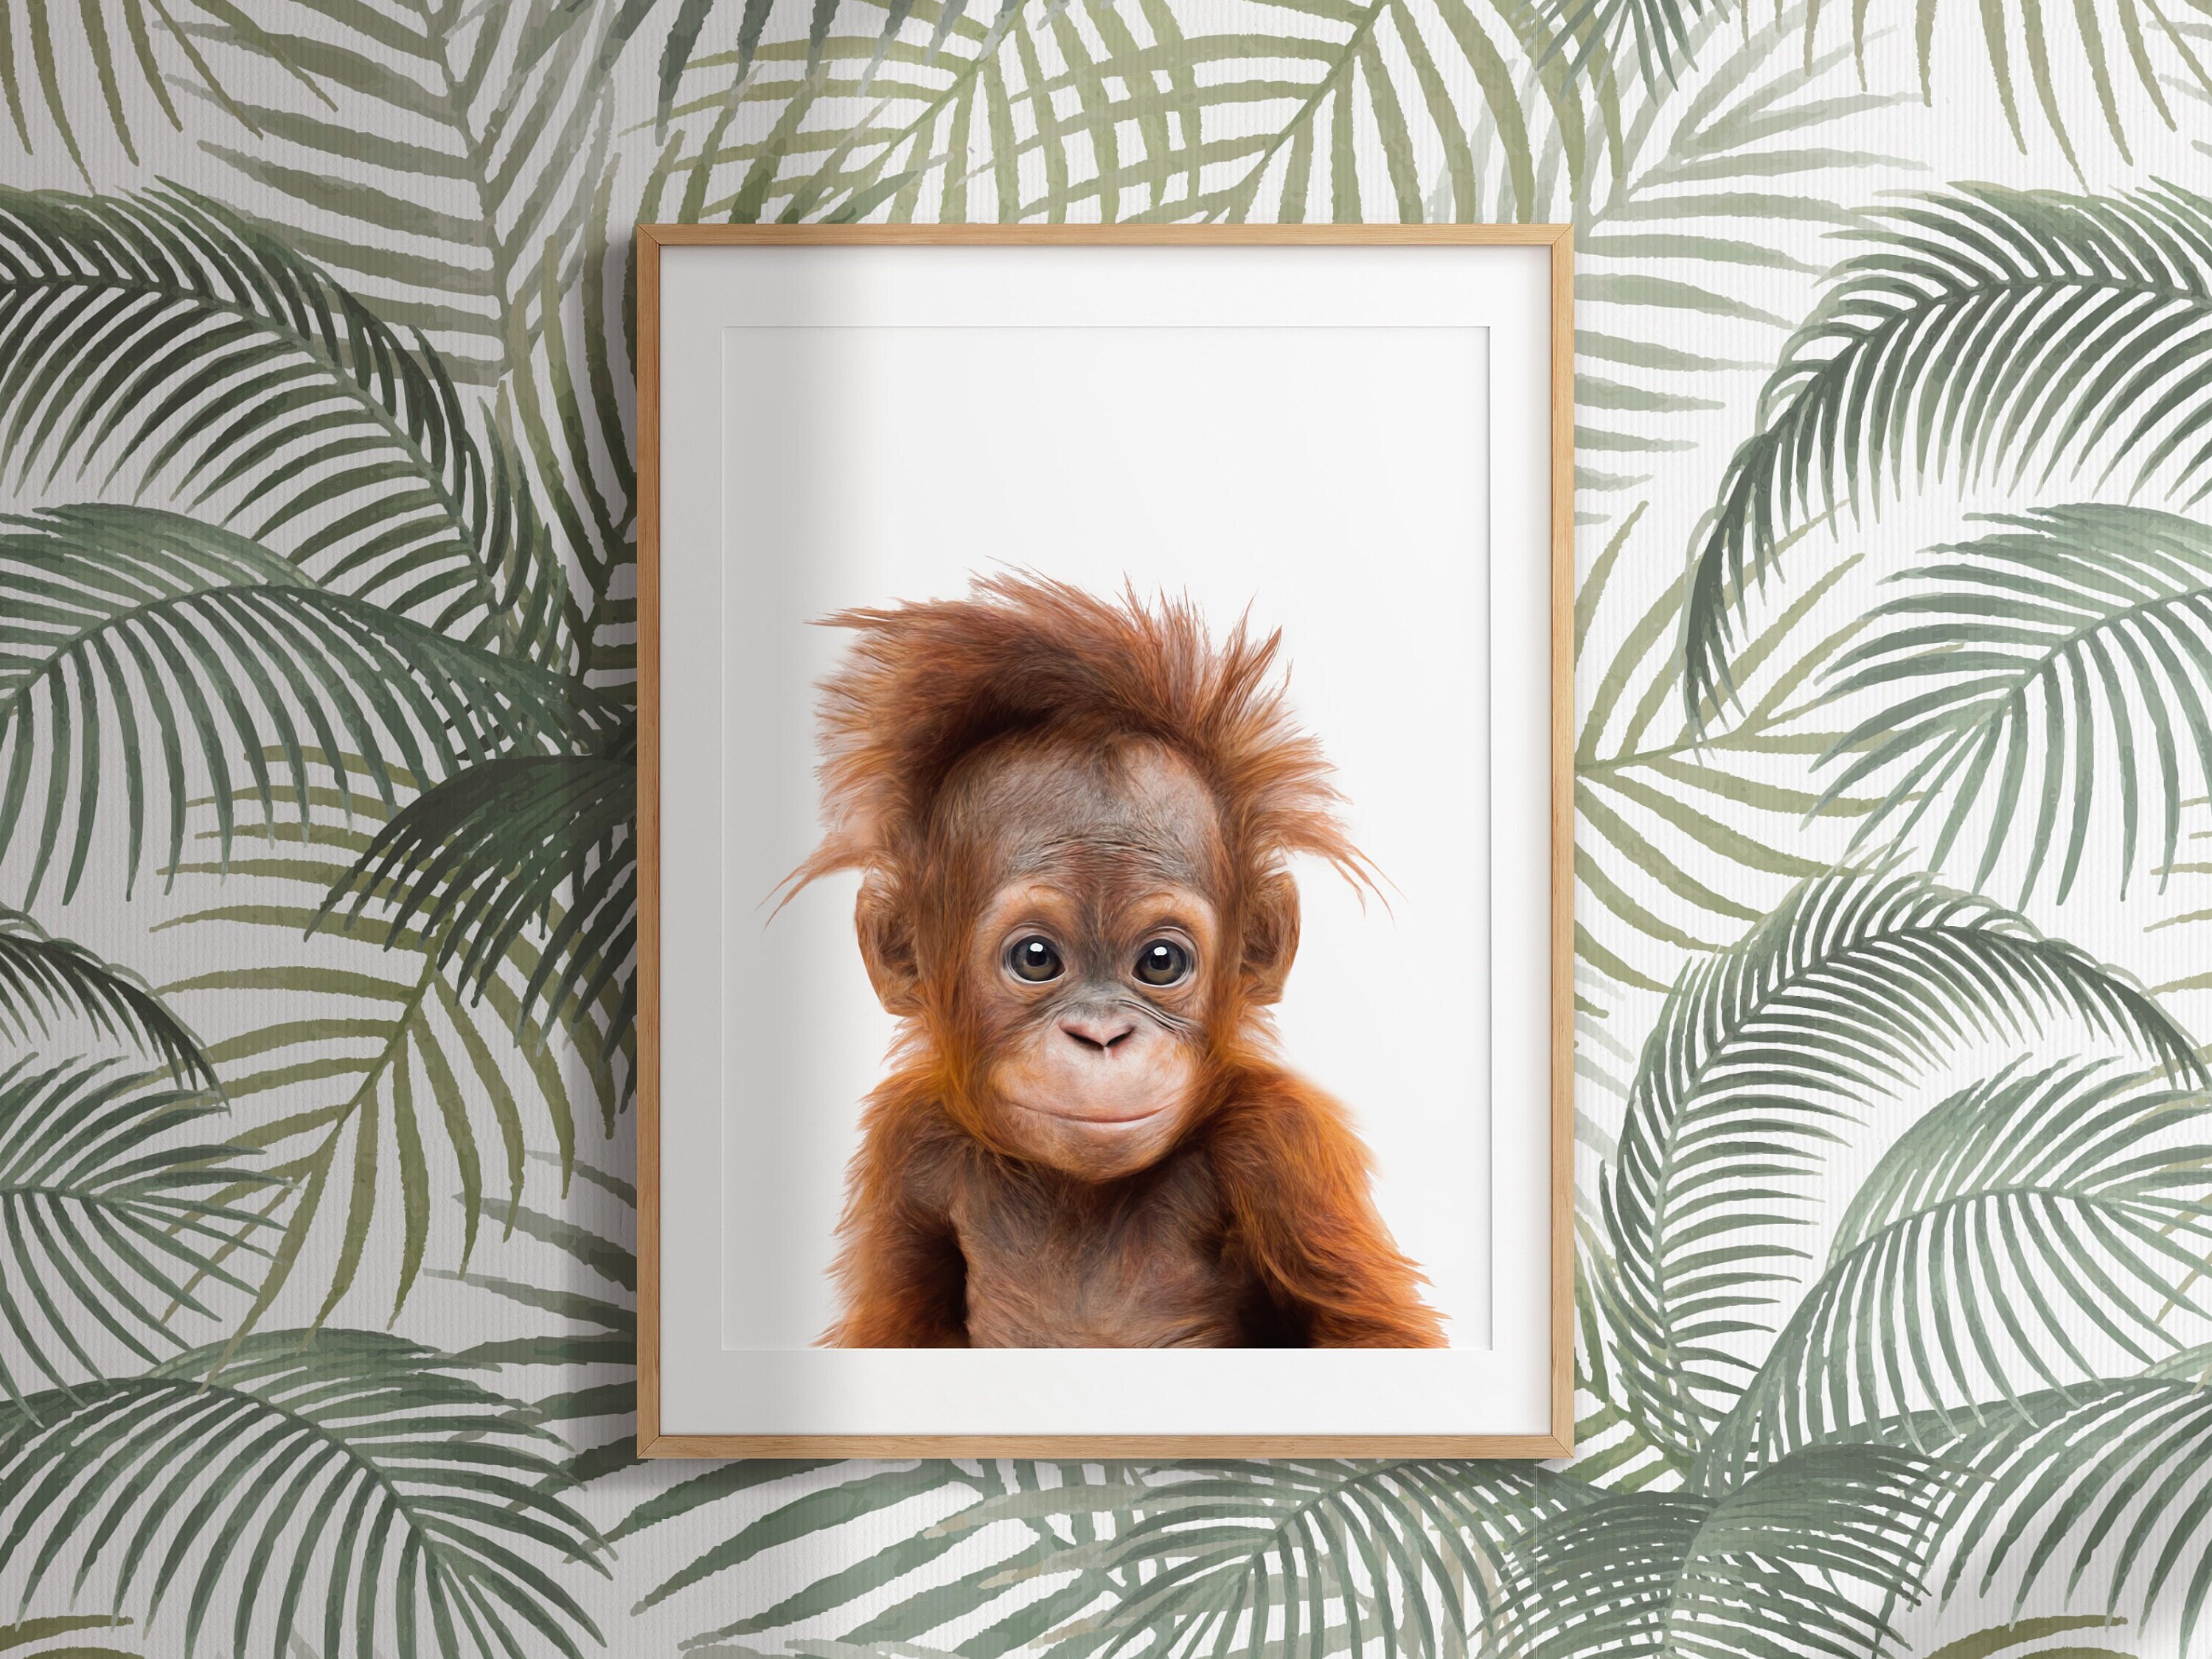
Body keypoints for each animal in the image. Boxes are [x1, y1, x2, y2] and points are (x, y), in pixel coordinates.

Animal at [783, 573, 1446, 1349]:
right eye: (1037, 958)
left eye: (1159, 962)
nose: (1101, 1037)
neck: (1080, 1191)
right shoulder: (908, 1144)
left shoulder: (1284, 1143)